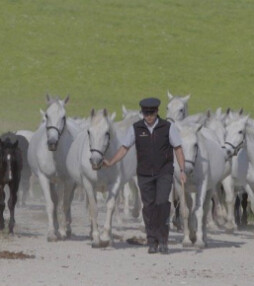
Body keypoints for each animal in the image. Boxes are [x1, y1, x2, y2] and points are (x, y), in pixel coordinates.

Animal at [27, 95, 80, 241]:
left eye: (63, 116)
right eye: (46, 115)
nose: (52, 142)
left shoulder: (68, 180)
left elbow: (65, 205)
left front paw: (62, 231)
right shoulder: (44, 178)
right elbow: (51, 204)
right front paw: (52, 232)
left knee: (67, 202)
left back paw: (67, 228)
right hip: (53, 181)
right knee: (56, 201)